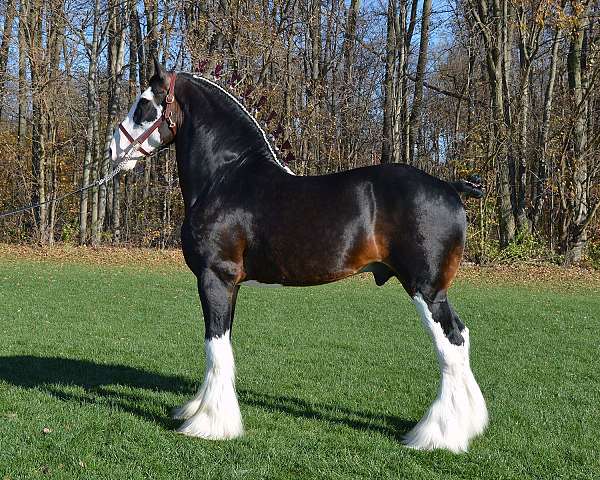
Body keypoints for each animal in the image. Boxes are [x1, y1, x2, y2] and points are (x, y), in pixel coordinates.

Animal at [109, 60, 488, 454]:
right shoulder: (229, 284)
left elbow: (215, 346)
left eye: (143, 104)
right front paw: (198, 409)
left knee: (451, 343)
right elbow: (219, 344)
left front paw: (210, 423)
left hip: (426, 289)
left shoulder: (216, 278)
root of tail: (450, 187)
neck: (226, 178)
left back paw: (437, 434)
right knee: (461, 337)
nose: (112, 149)